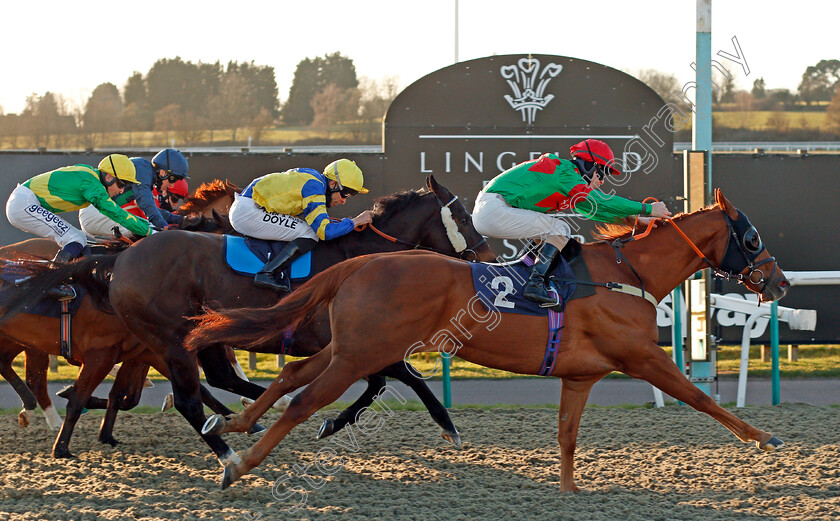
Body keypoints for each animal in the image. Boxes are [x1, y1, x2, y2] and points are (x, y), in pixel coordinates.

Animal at [0, 177, 496, 466]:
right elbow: (399, 376)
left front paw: (328, 421)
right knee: (188, 399)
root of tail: (119, 258)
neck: (357, 256)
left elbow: (386, 380)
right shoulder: (345, 343)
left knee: (205, 385)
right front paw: (446, 426)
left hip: (184, 338)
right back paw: (228, 452)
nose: (489, 257)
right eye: (463, 215)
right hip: (172, 338)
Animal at [187, 189, 792, 490]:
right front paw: (765, 438)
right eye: (751, 237)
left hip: (349, 346)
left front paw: (570, 492)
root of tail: (359, 264)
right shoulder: (641, 355)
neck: (627, 272)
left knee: (292, 377)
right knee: (306, 401)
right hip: (363, 352)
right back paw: (240, 462)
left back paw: (232, 426)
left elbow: (567, 436)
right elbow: (699, 397)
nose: (780, 282)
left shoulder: (581, 374)